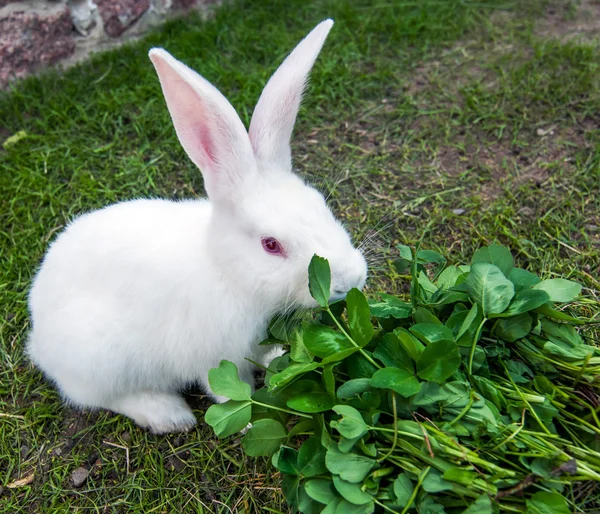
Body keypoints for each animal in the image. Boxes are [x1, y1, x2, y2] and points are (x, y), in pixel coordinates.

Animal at [27, 18, 366, 430]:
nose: (351, 280)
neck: (229, 272)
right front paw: (246, 423)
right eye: (270, 245)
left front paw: (277, 357)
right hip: (101, 358)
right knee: (98, 397)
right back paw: (167, 414)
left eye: (321, 204)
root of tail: (39, 340)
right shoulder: (214, 353)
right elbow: (227, 388)